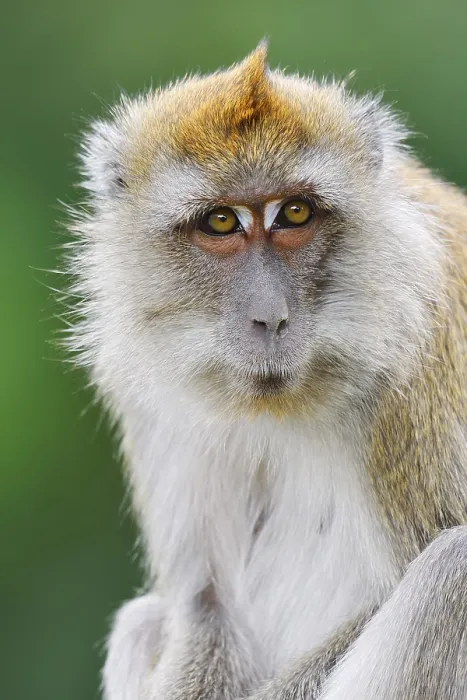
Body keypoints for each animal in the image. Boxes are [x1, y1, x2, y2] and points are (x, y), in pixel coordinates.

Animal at [66, 43, 467, 700]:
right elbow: (206, 607)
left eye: (294, 213)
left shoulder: (417, 370)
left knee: (454, 573)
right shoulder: (159, 396)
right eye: (221, 222)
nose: (270, 317)